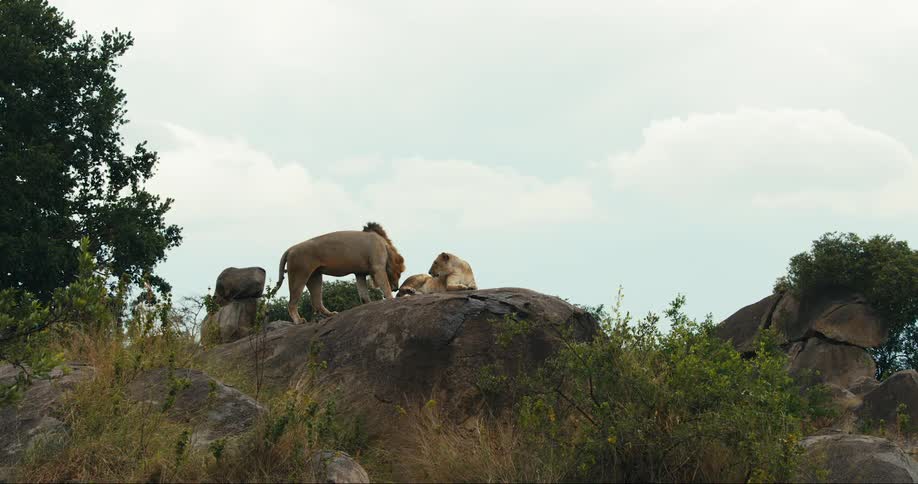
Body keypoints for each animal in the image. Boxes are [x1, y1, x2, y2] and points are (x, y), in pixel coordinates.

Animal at [275, 222, 405, 323]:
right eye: (399, 274)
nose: (396, 288)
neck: (386, 246)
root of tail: (290, 249)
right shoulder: (378, 268)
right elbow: (385, 286)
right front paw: (391, 298)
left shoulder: (359, 273)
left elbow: (363, 295)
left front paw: (368, 305)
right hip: (300, 273)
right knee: (292, 302)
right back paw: (298, 320)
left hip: (315, 276)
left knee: (316, 301)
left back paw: (331, 314)